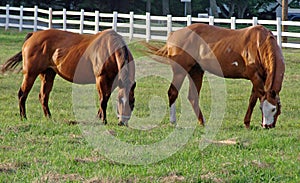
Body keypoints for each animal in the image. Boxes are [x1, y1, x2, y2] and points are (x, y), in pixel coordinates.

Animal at [1, 29, 136, 126]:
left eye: (132, 102)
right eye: (119, 101)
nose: (122, 122)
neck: (109, 49)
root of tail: (34, 34)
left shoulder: (112, 82)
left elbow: (105, 99)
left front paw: (98, 117)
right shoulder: (101, 79)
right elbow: (103, 100)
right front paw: (103, 120)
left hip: (48, 74)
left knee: (43, 96)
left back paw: (48, 117)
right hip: (30, 74)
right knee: (22, 94)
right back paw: (23, 117)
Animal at [146, 23, 284, 129]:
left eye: (274, 109)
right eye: (262, 108)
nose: (267, 126)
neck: (259, 43)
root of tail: (173, 35)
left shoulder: (261, 79)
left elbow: (253, 99)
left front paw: (247, 123)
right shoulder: (255, 77)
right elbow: (253, 101)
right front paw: (247, 124)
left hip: (196, 72)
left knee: (193, 97)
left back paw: (202, 122)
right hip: (180, 71)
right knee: (173, 92)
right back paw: (173, 121)